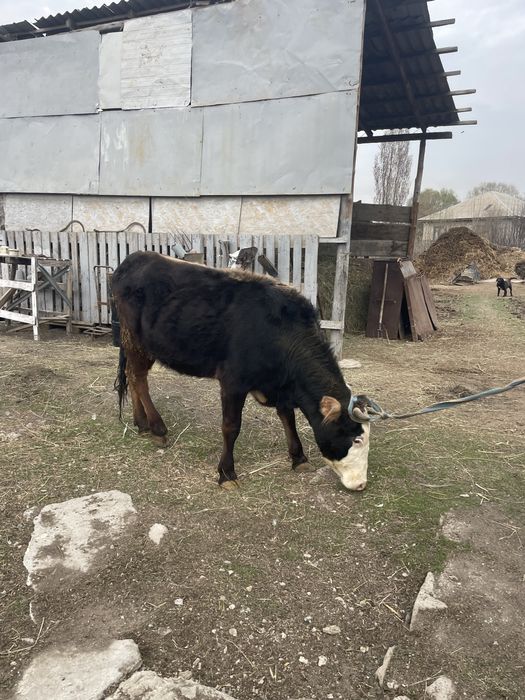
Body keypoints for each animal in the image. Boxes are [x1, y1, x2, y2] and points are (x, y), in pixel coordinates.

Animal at [111, 251, 371, 491]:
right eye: (356, 438)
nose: (361, 484)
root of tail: (135, 257)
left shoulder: (280, 384)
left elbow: (288, 417)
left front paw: (299, 458)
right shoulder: (233, 382)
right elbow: (231, 426)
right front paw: (226, 473)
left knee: (133, 376)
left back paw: (141, 424)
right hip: (135, 340)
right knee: (138, 378)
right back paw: (157, 428)